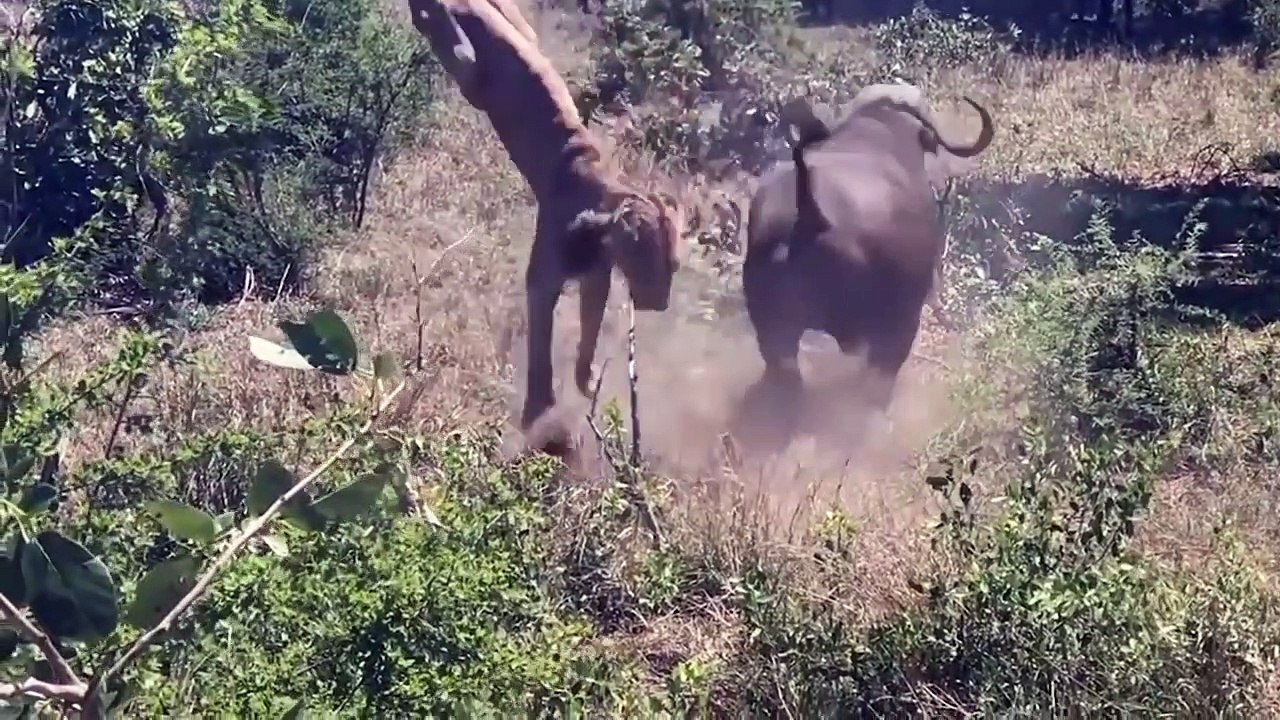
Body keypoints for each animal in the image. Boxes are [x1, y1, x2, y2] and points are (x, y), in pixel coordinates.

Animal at [405, 0, 688, 453]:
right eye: (650, 264)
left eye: (674, 266)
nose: (660, 303)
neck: (606, 211)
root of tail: (466, 5)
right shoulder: (546, 275)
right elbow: (541, 344)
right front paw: (541, 413)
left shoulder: (596, 276)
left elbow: (588, 331)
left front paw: (586, 381)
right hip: (472, 75)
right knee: (445, 36)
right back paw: (430, 14)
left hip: (513, 32)